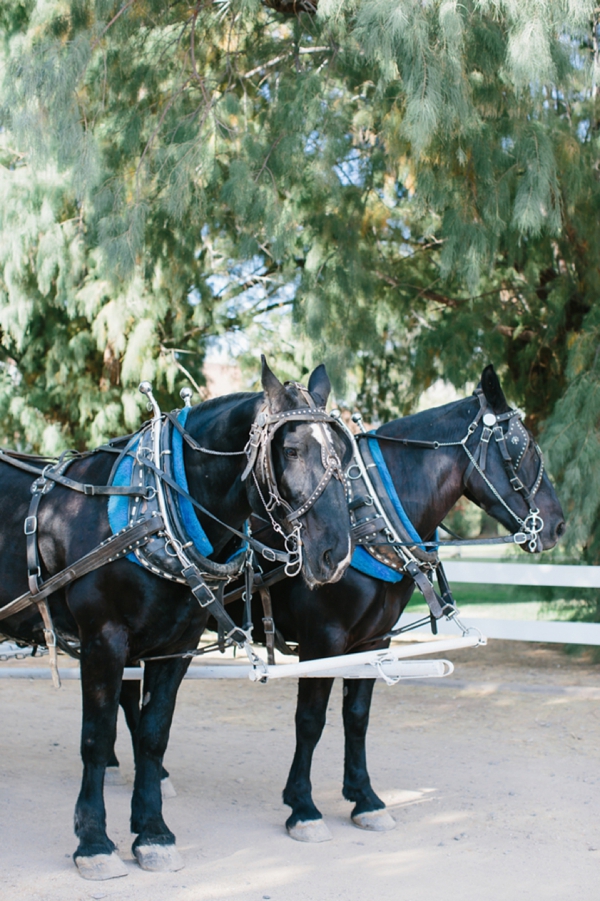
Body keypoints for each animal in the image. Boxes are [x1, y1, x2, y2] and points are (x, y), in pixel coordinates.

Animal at [0, 360, 352, 880]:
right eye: (290, 449)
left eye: (344, 452)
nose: (336, 553)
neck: (157, 508)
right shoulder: (103, 641)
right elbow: (96, 737)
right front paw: (94, 842)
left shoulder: (176, 647)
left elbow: (153, 736)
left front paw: (152, 833)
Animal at [226, 364, 568, 836]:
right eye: (526, 448)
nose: (558, 525)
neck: (368, 518)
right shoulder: (322, 642)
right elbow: (310, 720)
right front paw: (302, 806)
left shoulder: (375, 641)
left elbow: (357, 717)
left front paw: (364, 799)